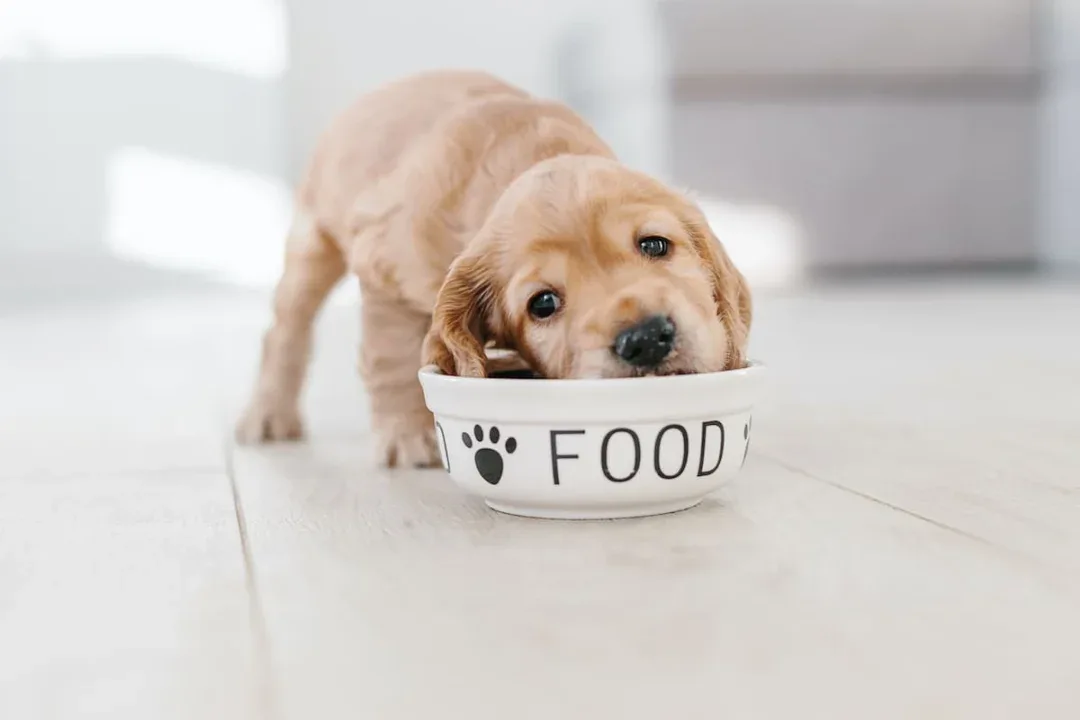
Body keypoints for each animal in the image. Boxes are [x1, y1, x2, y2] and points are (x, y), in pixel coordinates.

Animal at [234, 70, 751, 470]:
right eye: (543, 303)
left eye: (655, 244)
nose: (645, 339)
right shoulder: (385, 271)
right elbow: (392, 357)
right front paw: (405, 435)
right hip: (313, 243)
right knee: (285, 330)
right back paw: (269, 415)